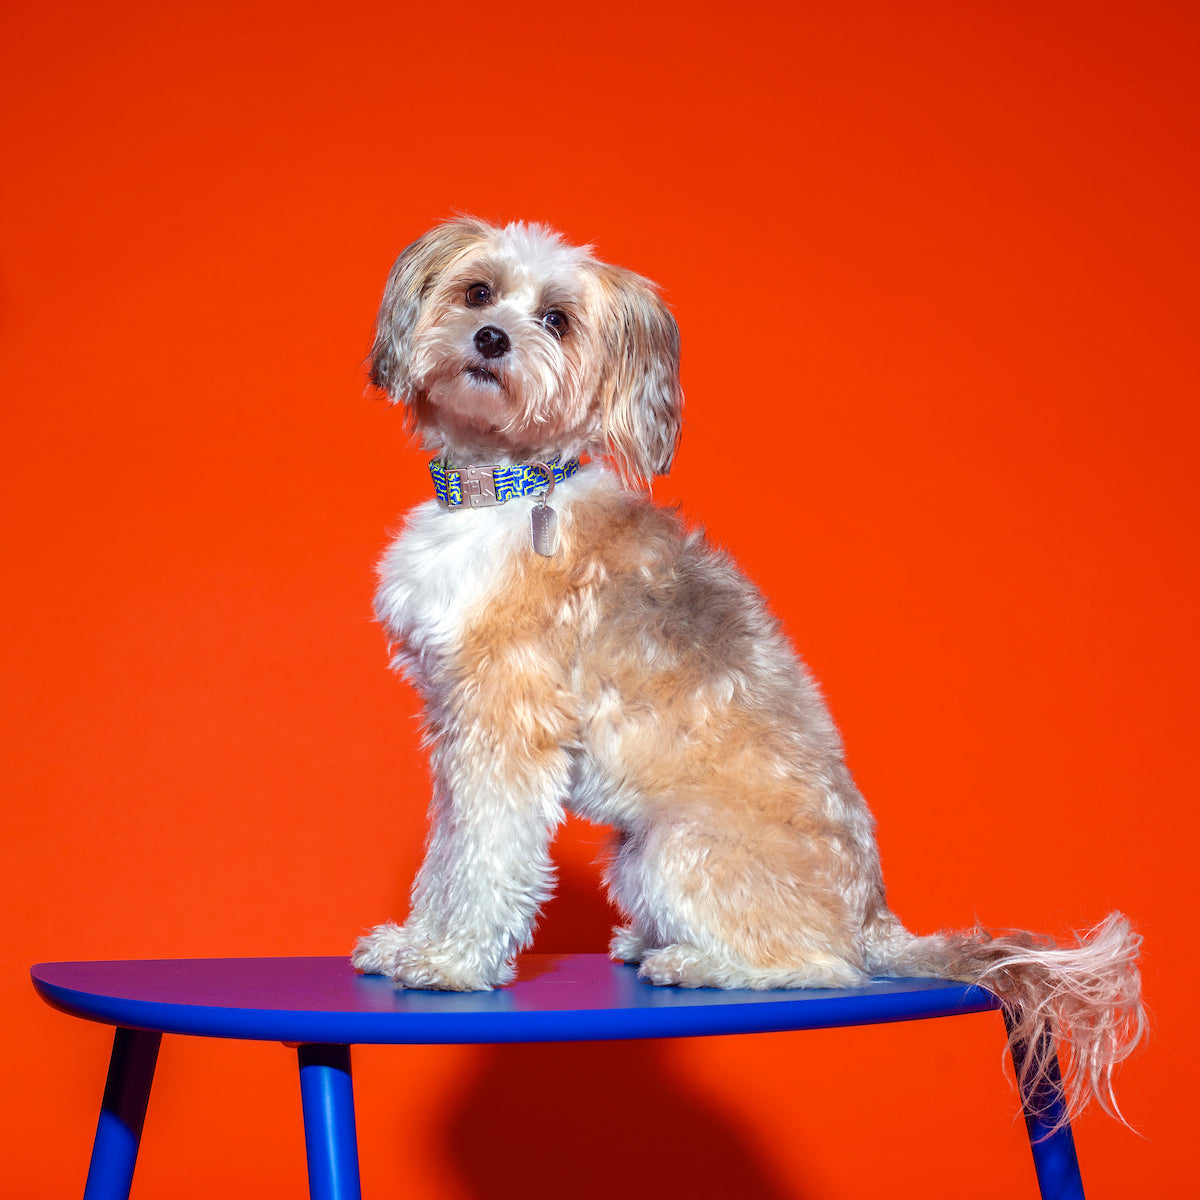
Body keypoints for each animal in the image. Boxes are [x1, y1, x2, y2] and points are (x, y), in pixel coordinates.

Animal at [350, 218, 1147, 1123]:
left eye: (556, 320)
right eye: (477, 291)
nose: (490, 338)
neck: (505, 491)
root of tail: (875, 917)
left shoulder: (506, 728)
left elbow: (486, 858)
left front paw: (453, 964)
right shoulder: (457, 729)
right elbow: (445, 854)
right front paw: (416, 940)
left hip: (676, 844)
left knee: (828, 968)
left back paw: (692, 960)